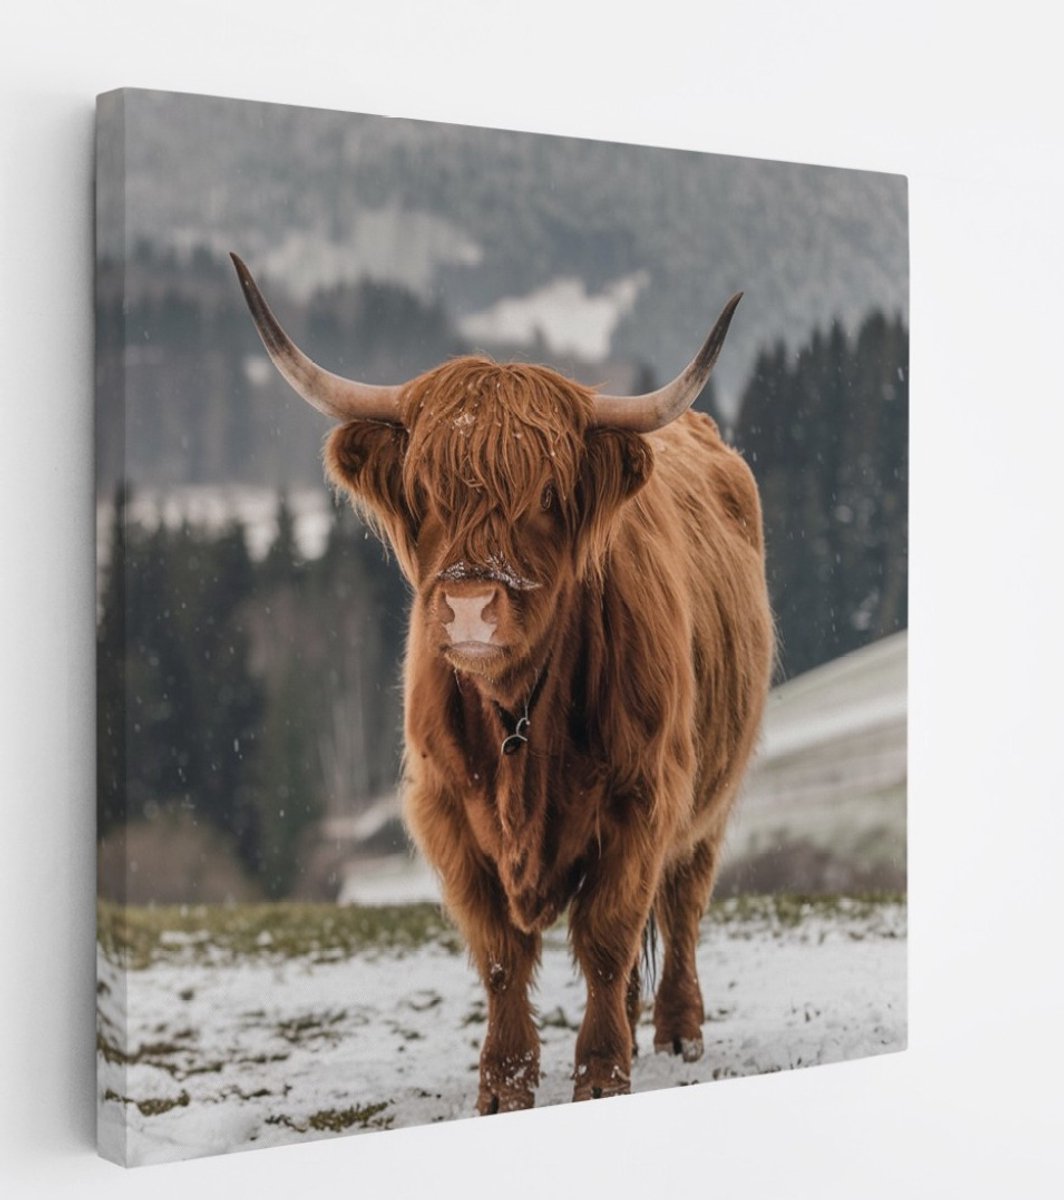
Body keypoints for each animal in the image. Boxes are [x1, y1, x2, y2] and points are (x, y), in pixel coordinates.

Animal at [231, 252, 774, 1112]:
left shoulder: (642, 796)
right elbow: (499, 955)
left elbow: (608, 935)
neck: (519, 712)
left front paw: (600, 1075)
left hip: (710, 795)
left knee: (683, 902)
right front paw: (505, 1084)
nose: (469, 608)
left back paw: (677, 1031)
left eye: (547, 496)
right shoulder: (446, 808)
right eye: (424, 492)